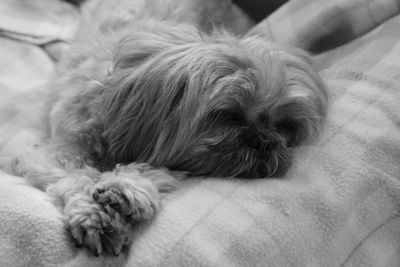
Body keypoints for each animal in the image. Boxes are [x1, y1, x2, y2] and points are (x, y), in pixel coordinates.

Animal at [9, 0, 328, 258]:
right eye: (228, 116)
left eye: (284, 125)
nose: (266, 141)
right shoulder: (57, 149)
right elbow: (76, 175)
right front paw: (96, 214)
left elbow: (148, 171)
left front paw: (123, 192)